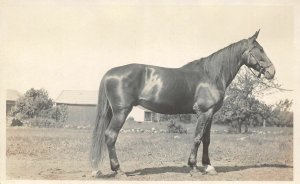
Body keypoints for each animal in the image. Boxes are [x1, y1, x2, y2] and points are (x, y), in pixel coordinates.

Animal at [90, 29, 276, 177]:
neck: (210, 75)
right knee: (110, 136)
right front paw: (193, 167)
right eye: (259, 50)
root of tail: (110, 73)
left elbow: (206, 139)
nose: (272, 72)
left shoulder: (210, 114)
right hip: (121, 112)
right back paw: (118, 170)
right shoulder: (204, 112)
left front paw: (208, 166)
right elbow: (197, 138)